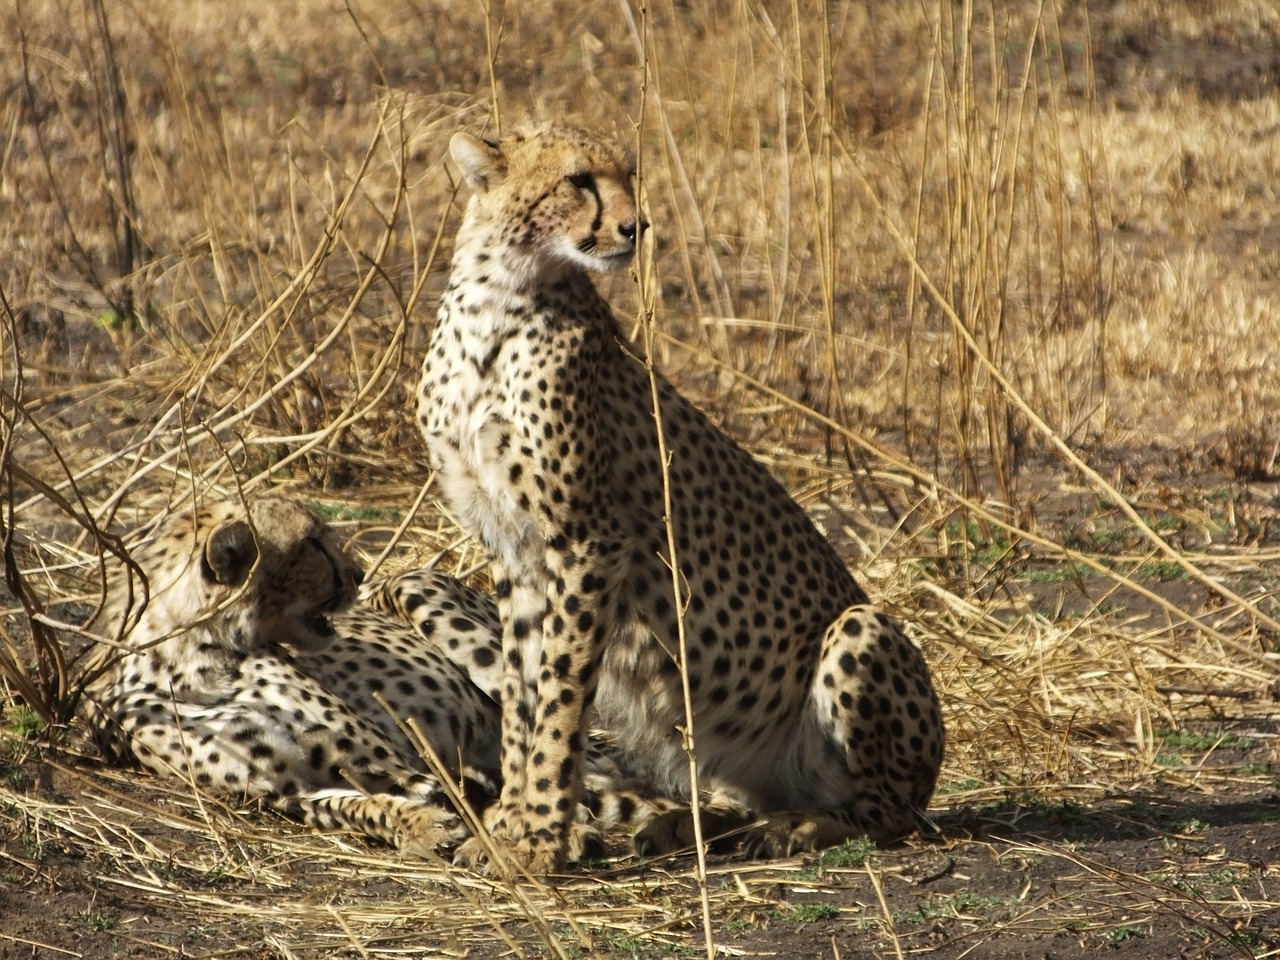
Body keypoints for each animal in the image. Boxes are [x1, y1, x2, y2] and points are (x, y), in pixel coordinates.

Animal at [419, 124, 942, 875]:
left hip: (860, 631)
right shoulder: (513, 548)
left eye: (628, 176)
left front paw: (541, 839)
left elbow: (561, 701)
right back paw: (693, 826)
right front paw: (509, 828)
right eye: (578, 180)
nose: (635, 227)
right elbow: (524, 697)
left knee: (887, 813)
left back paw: (798, 827)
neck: (499, 300)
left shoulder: (589, 541)